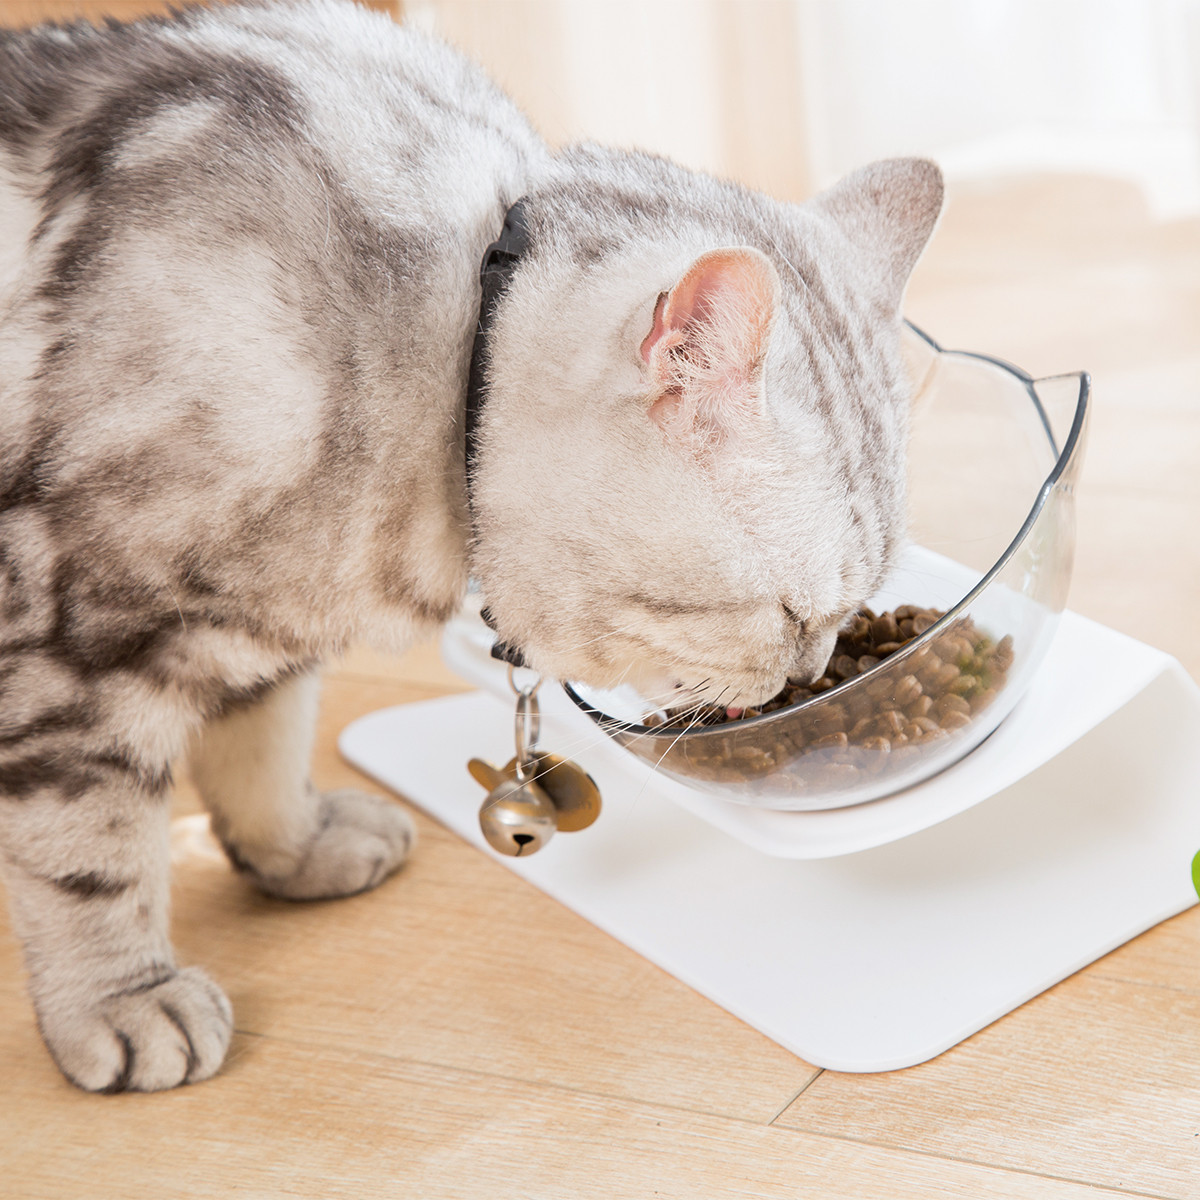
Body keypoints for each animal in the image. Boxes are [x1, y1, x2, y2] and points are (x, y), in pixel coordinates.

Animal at [0, 0, 936, 1094]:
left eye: (849, 615)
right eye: (793, 616)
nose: (812, 672)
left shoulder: (262, 614)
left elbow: (261, 741)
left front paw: (296, 846)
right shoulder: (72, 637)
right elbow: (92, 851)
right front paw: (122, 996)